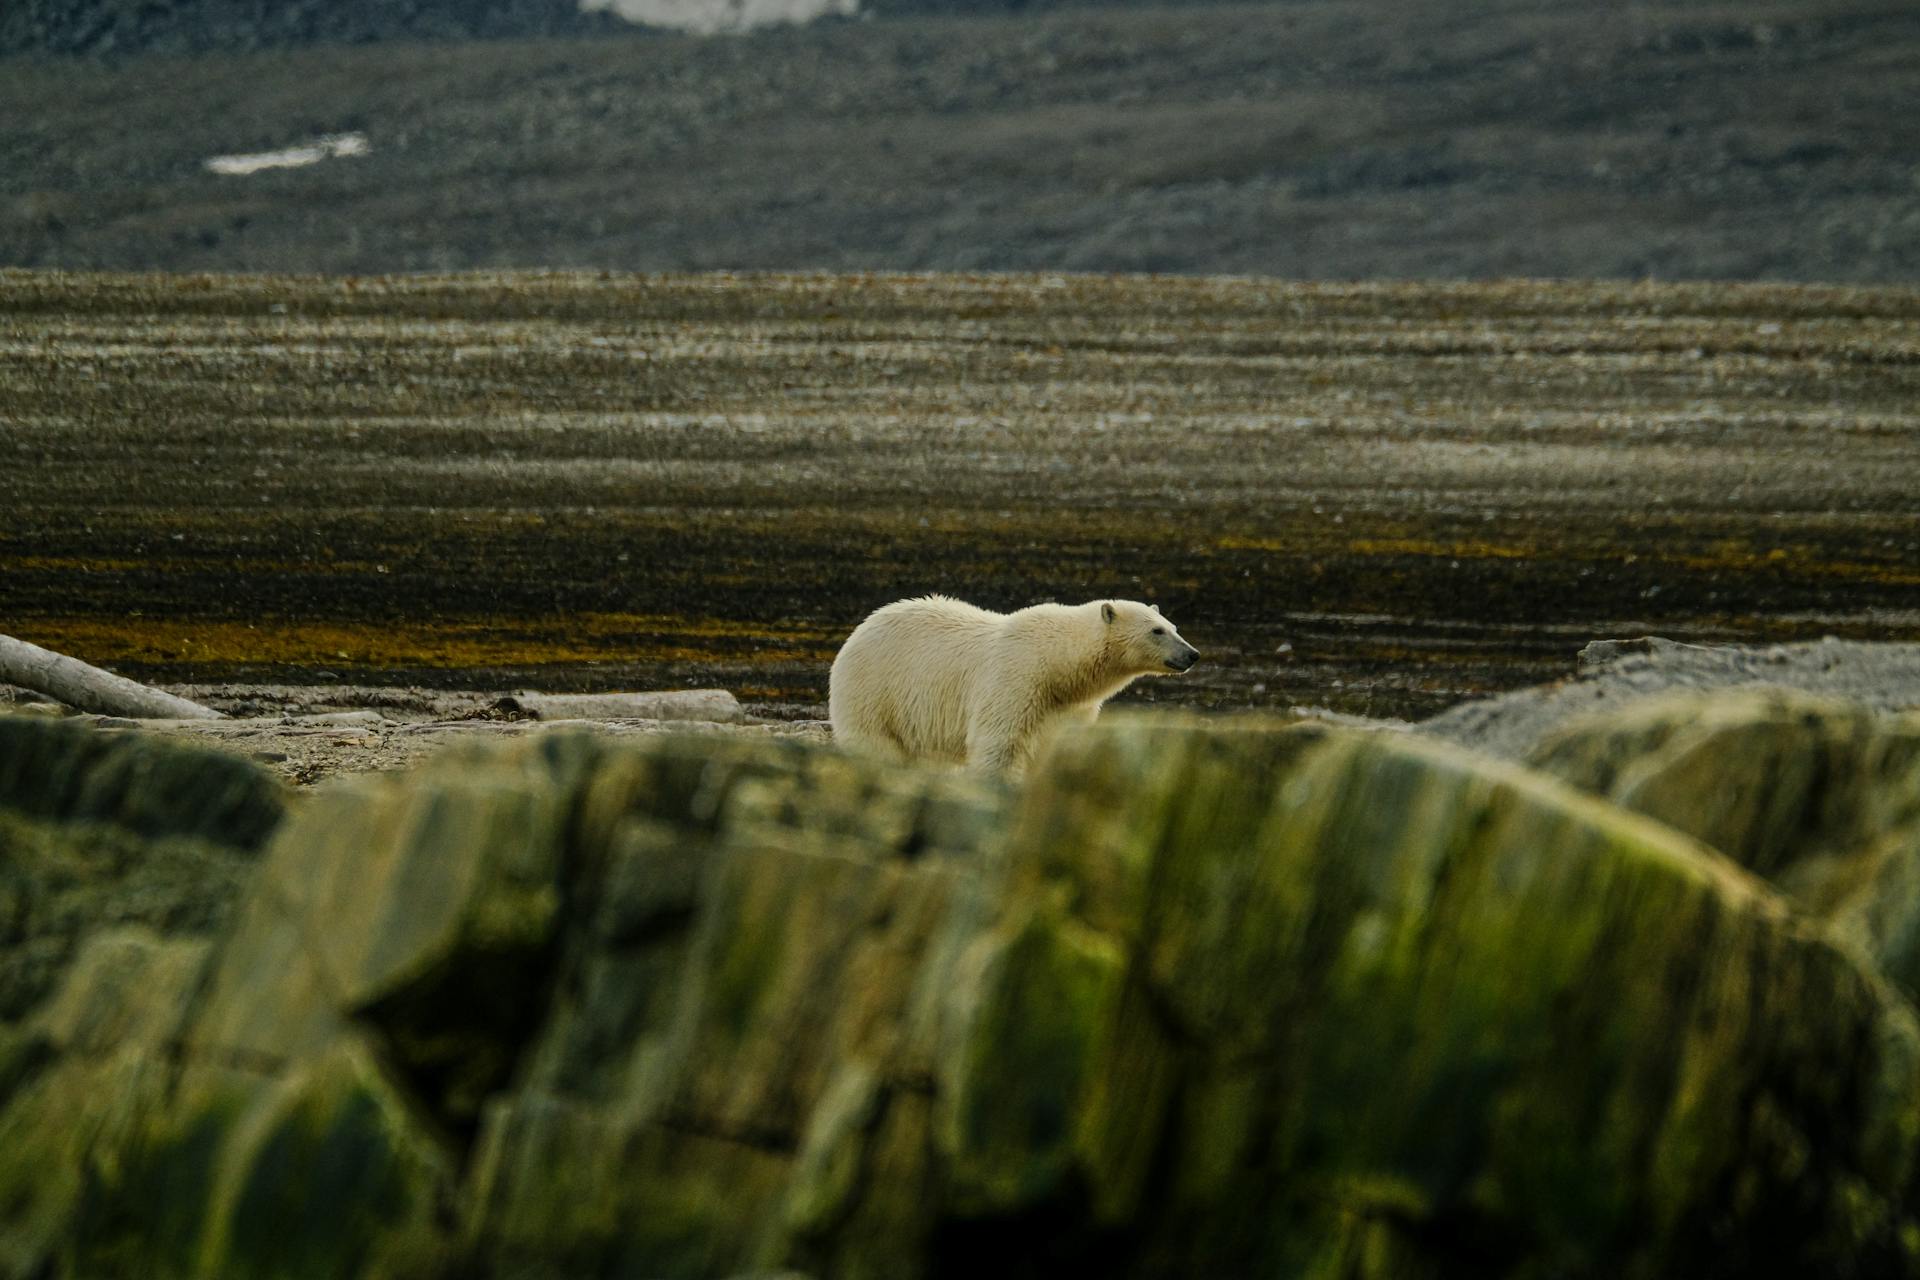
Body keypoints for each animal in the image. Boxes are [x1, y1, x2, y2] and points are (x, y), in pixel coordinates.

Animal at [829, 598, 1198, 782]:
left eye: (1174, 626)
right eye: (1156, 630)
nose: (1192, 654)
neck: (1057, 663)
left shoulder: (1070, 706)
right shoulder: (1016, 681)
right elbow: (1001, 745)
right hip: (876, 691)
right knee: (878, 746)